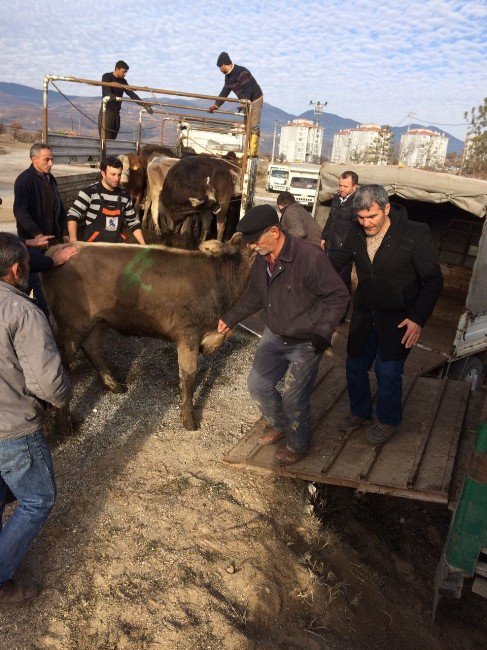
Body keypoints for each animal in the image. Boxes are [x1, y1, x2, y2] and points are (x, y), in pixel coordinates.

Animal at [42, 235, 254, 432]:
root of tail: (57, 248)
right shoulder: (188, 334)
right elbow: (188, 376)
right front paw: (189, 420)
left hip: (99, 321)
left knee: (92, 347)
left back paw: (114, 385)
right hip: (72, 324)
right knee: (60, 367)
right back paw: (64, 424)